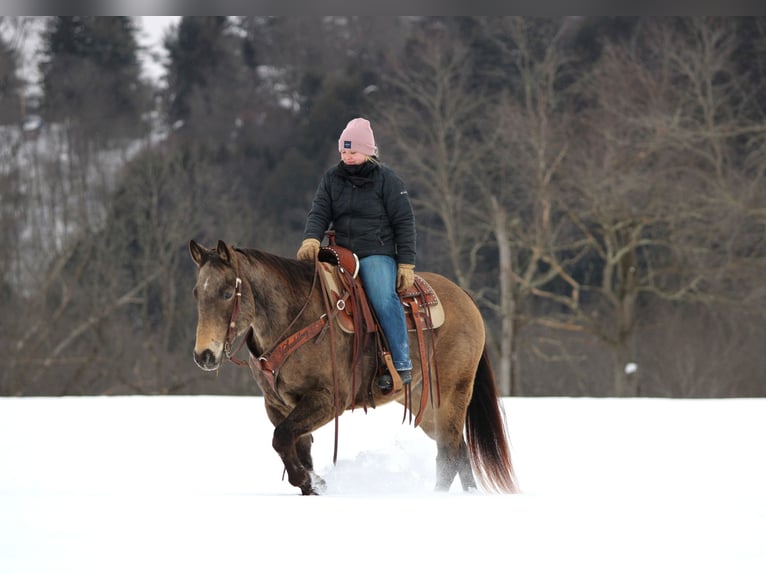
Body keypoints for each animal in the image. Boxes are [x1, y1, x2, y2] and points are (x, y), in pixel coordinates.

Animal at [189, 239, 517, 495]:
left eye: (227, 293)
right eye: (197, 293)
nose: (204, 355)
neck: (297, 320)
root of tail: (466, 299)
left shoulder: (328, 399)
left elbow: (282, 438)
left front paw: (314, 481)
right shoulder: (278, 405)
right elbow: (295, 446)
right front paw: (312, 484)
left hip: (450, 394)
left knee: (450, 452)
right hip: (426, 406)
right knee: (458, 450)